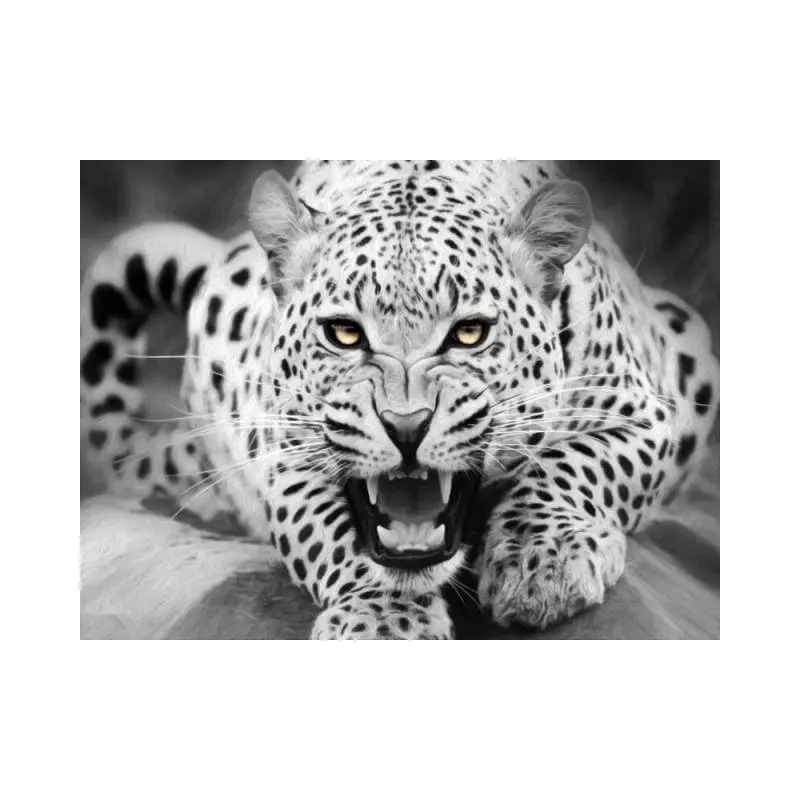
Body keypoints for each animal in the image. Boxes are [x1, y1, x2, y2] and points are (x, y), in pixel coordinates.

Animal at [80, 160, 719, 639]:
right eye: (343, 333)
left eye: (469, 333)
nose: (406, 426)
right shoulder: (287, 456)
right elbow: (334, 536)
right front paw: (384, 621)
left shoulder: (642, 411)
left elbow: (577, 465)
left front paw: (543, 563)